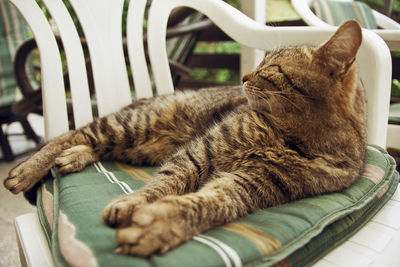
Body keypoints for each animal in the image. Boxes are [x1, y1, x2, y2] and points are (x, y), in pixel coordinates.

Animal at [3, 19, 366, 256]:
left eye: (270, 68)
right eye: (261, 63)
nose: (243, 77)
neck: (292, 137)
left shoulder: (255, 183)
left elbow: (208, 204)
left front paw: (159, 225)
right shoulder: (201, 151)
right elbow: (163, 184)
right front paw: (132, 202)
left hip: (138, 146)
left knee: (95, 145)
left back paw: (72, 157)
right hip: (133, 125)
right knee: (72, 133)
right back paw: (27, 170)